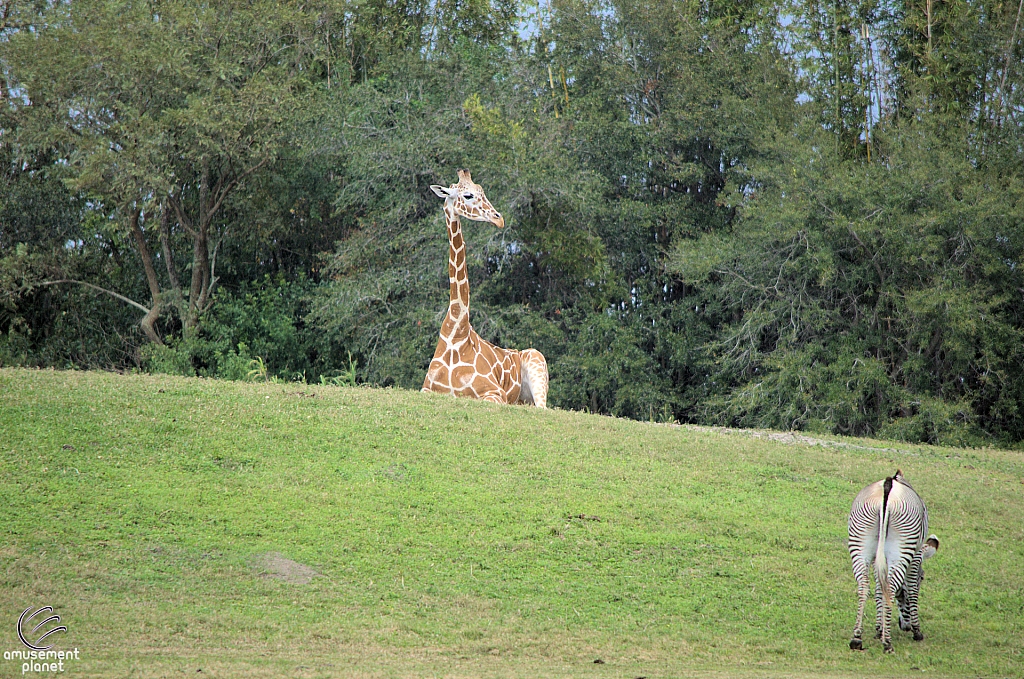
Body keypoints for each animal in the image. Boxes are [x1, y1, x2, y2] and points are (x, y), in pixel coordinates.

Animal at [419, 170, 548, 409]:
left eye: (483, 192)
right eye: (468, 195)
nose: (499, 219)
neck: (457, 334)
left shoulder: (496, 393)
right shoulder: (426, 389)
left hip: (537, 364)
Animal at [847, 467, 937, 655]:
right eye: (922, 578)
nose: (905, 626)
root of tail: (888, 485)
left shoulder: (878, 557)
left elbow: (878, 588)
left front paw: (878, 628)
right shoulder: (916, 555)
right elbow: (912, 589)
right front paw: (916, 630)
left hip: (859, 541)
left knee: (864, 586)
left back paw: (857, 638)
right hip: (902, 546)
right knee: (890, 586)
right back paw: (887, 643)